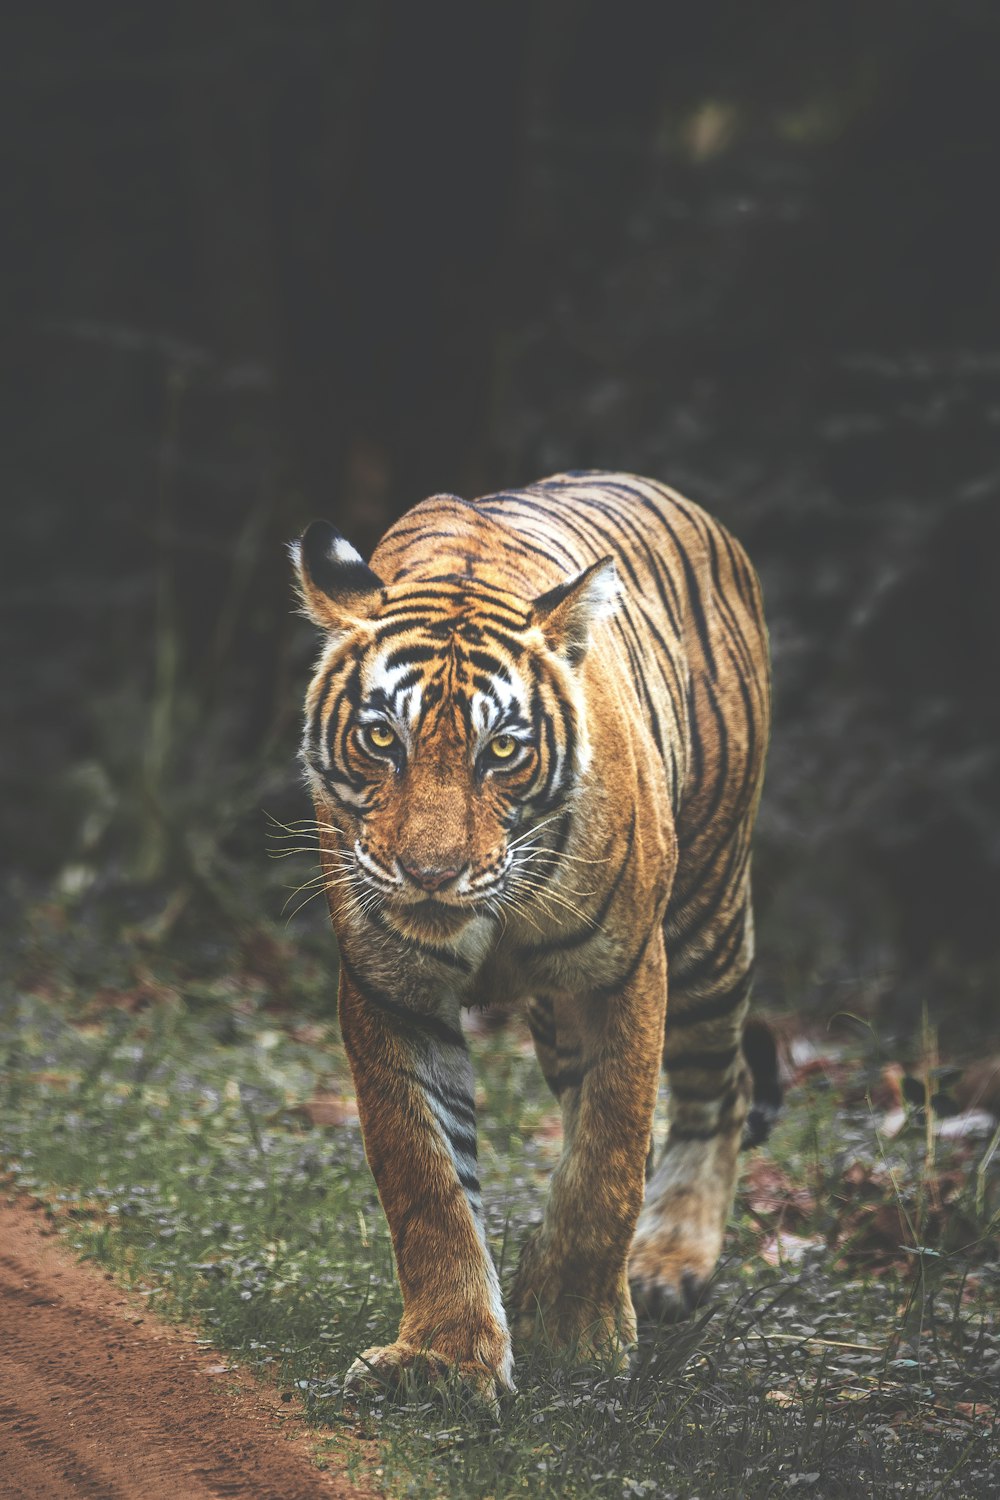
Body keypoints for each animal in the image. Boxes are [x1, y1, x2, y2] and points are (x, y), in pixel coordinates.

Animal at [290, 471, 773, 1404]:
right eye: (381, 737)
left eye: (503, 750)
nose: (430, 872)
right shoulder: (389, 988)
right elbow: (427, 1178)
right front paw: (444, 1359)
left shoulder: (625, 969)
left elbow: (608, 1158)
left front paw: (580, 1338)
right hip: (562, 1016)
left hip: (706, 920)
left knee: (716, 1089)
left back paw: (667, 1263)